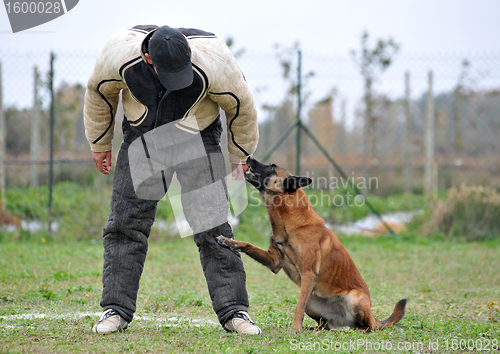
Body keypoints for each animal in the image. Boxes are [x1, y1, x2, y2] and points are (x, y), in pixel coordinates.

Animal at [218, 158, 406, 332]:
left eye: (272, 167)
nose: (248, 158)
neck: (291, 223)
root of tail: (345, 321)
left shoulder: (308, 274)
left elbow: (298, 307)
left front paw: (295, 329)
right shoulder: (275, 262)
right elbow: (247, 244)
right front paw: (228, 241)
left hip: (353, 300)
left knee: (367, 326)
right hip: (313, 302)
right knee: (325, 325)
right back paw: (312, 328)